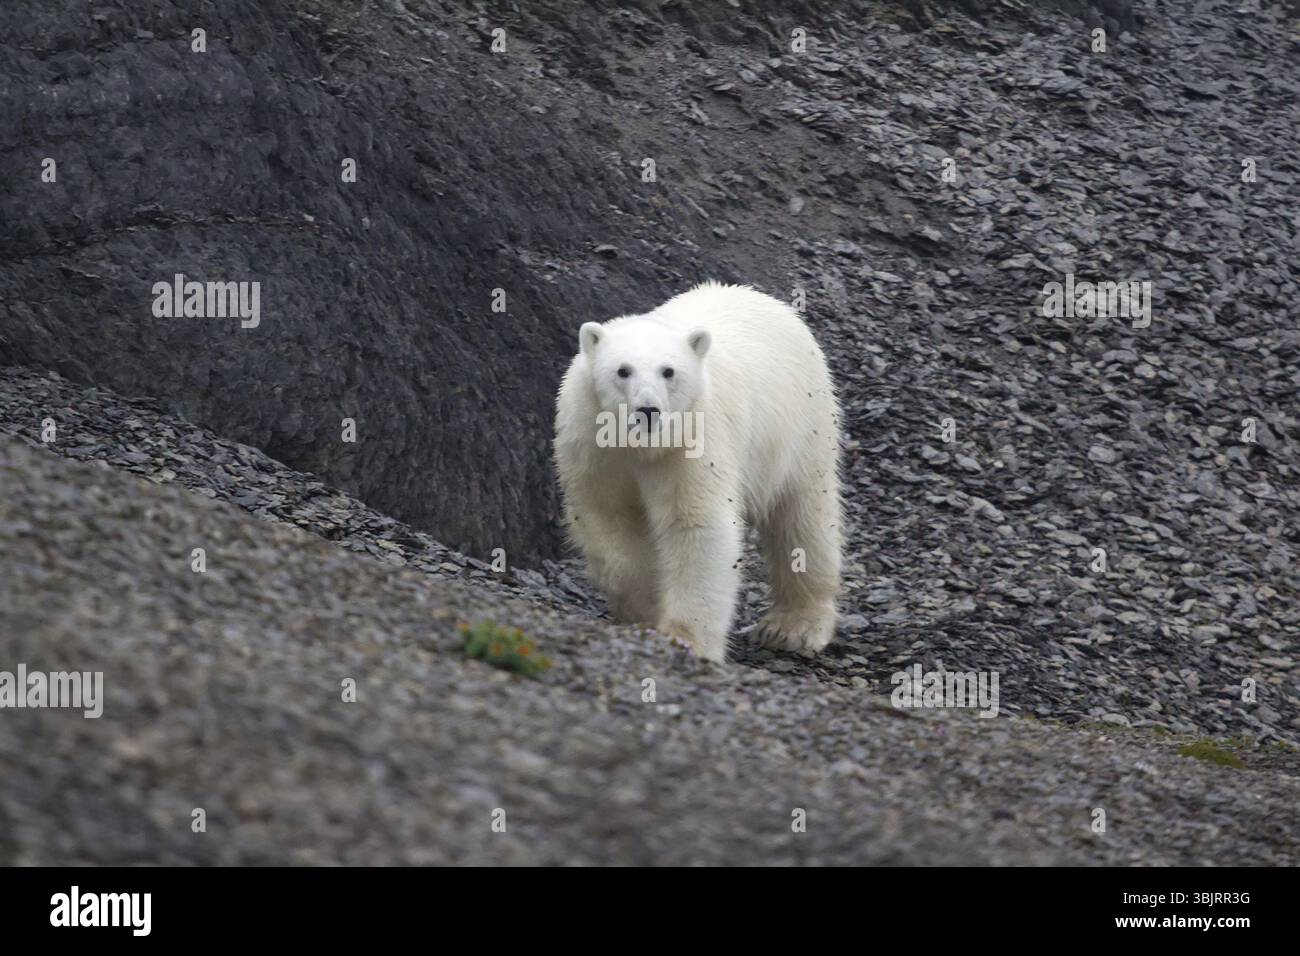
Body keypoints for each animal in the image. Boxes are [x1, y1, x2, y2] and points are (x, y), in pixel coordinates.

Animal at [553, 281, 842, 663]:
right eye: (622, 371)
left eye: (669, 371)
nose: (648, 410)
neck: (641, 446)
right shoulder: (593, 443)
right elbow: (609, 519)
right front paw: (646, 607)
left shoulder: (692, 440)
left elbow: (697, 525)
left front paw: (686, 638)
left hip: (802, 426)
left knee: (802, 517)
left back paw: (794, 626)